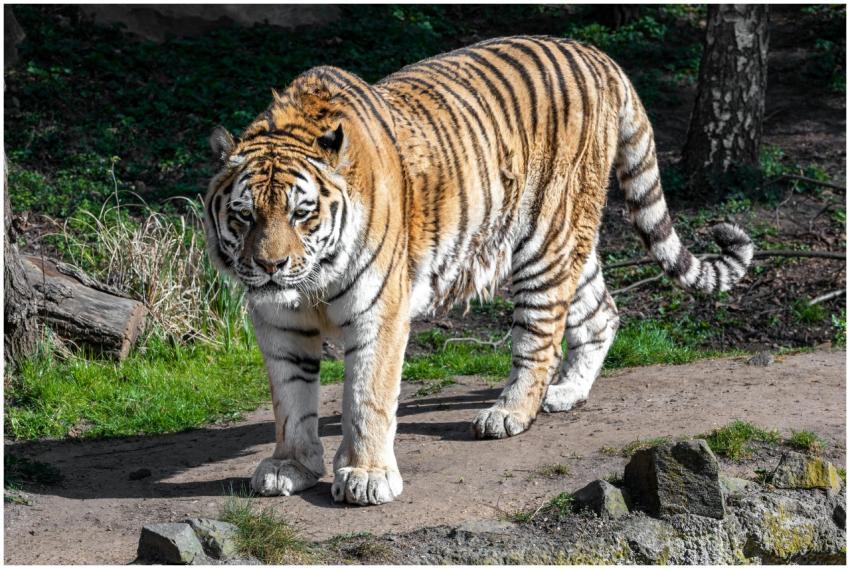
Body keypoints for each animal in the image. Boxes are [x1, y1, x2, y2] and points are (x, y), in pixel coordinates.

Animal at [204, 35, 753, 506]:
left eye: (302, 213)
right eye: (245, 215)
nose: (270, 266)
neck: (310, 285)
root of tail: (596, 54)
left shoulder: (379, 314)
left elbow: (367, 397)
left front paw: (366, 476)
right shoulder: (279, 324)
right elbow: (290, 400)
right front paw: (290, 466)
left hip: (544, 240)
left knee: (540, 339)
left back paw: (509, 413)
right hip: (568, 241)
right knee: (603, 313)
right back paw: (567, 393)